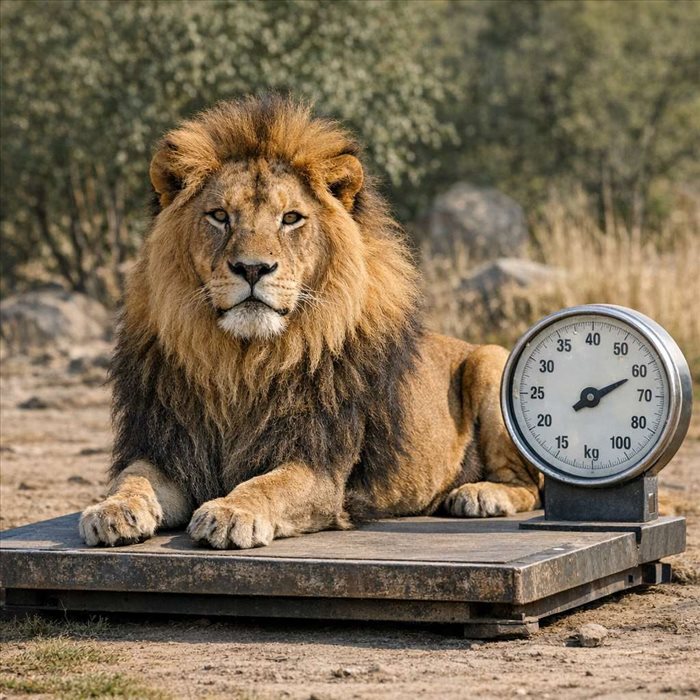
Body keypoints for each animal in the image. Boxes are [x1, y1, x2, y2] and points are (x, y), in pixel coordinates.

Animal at [79, 96, 542, 549]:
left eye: (290, 218)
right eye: (219, 216)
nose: (252, 268)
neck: (241, 363)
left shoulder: (319, 465)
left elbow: (267, 484)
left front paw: (230, 511)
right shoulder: (167, 447)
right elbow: (132, 478)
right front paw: (110, 510)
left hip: (492, 359)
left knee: (530, 486)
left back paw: (478, 495)